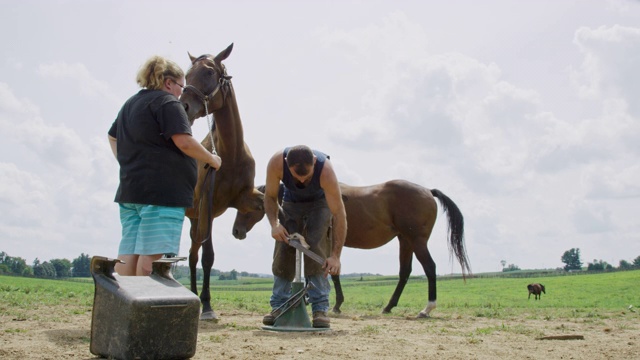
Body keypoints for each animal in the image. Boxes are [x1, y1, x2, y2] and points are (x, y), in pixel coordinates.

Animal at [179, 43, 264, 322]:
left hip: (195, 221)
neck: (230, 155)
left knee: (191, 256)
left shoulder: (242, 197)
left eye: (209, 72)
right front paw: (207, 306)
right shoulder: (209, 207)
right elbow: (208, 258)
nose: (183, 106)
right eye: (186, 74)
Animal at [232, 180, 472, 318]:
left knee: (430, 268)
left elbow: (331, 272)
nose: (236, 231)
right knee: (405, 272)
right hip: (405, 240)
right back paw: (388, 307)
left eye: (251, 204)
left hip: (416, 240)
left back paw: (427, 308)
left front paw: (335, 305)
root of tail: (427, 191)